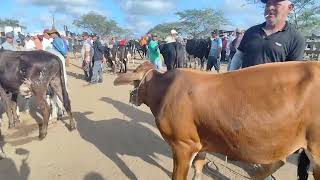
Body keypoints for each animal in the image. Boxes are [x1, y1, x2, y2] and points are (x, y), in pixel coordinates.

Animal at [114, 60, 320, 180]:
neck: (165, 90)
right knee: (278, 162)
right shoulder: (201, 143)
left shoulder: (183, 146)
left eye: (135, 80)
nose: (132, 98)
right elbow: (198, 169)